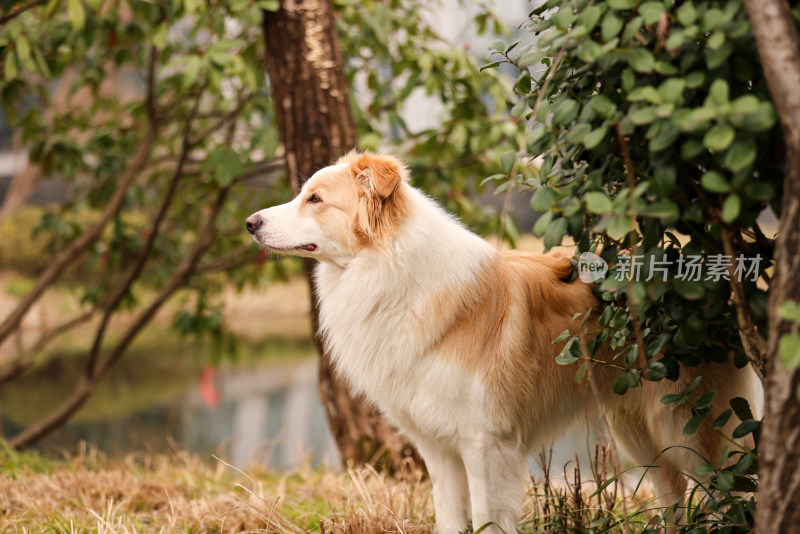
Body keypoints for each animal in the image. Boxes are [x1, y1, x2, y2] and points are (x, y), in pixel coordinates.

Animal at [247, 152, 760, 534]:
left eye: (315, 199)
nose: (251, 222)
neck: (390, 269)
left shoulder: (485, 445)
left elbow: (487, 520)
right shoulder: (439, 449)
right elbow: (451, 520)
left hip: (687, 428)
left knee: (724, 494)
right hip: (640, 430)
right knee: (673, 493)